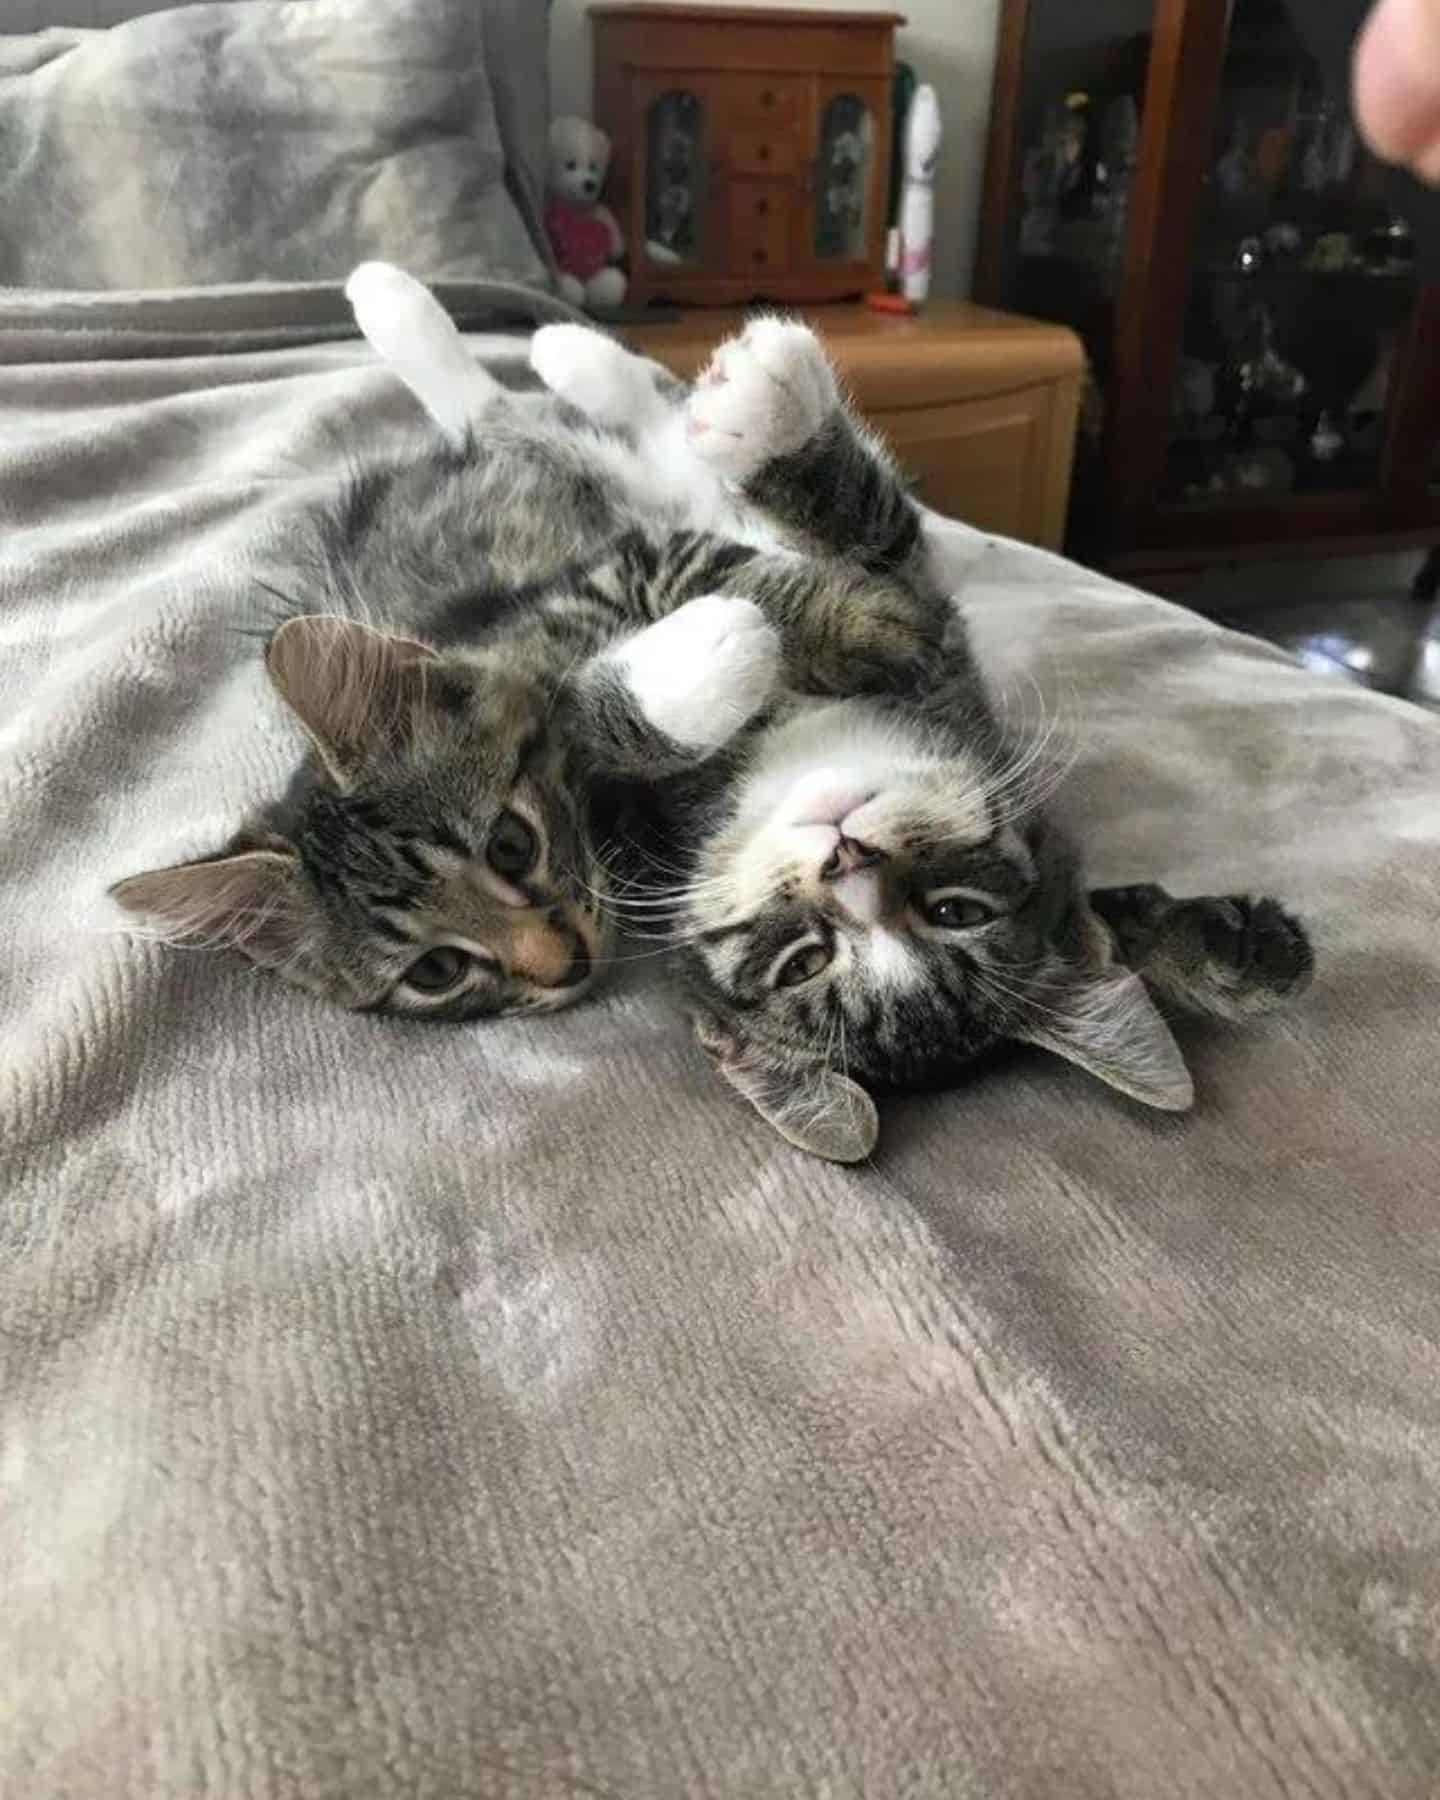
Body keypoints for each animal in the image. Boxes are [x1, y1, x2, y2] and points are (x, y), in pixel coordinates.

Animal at [115, 266, 1317, 1166]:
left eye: (955, 914)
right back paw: (484, 326)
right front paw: (753, 618)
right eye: (806, 961)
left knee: (565, 419)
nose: (846, 859)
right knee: (545, 418)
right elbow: (834, 560)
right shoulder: (632, 614)